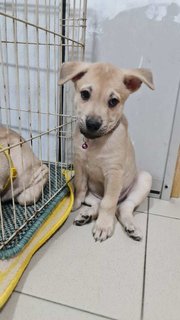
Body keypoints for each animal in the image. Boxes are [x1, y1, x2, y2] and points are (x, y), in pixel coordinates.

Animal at [59, 61, 155, 241]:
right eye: (85, 94)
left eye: (113, 101)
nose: (92, 124)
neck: (94, 142)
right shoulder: (79, 165)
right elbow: (80, 187)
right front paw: (75, 204)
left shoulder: (114, 173)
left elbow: (108, 203)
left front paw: (103, 226)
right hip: (93, 194)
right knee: (97, 203)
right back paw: (87, 215)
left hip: (144, 180)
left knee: (121, 207)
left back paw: (130, 227)